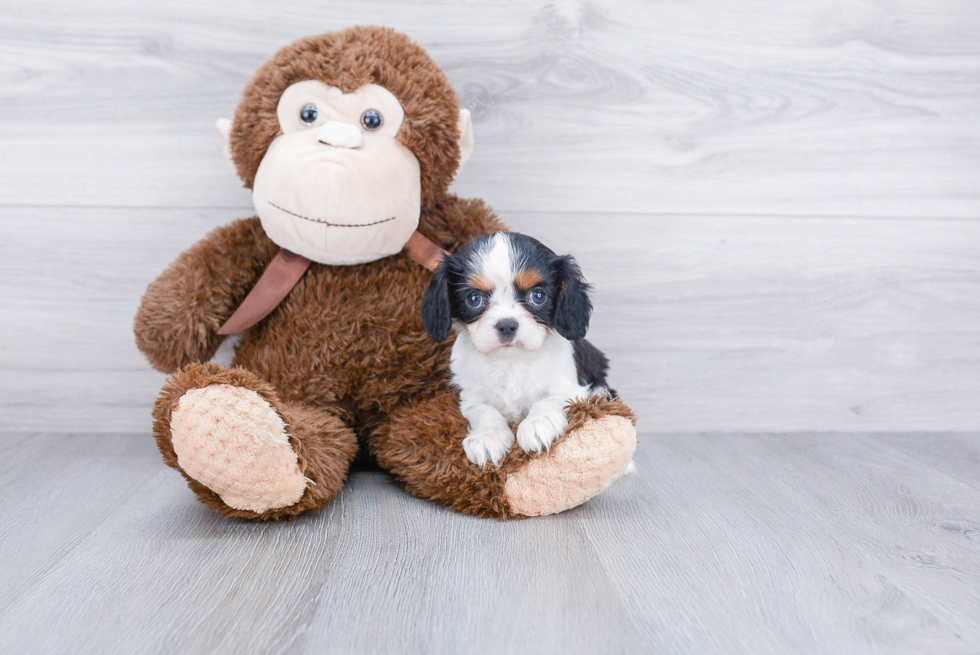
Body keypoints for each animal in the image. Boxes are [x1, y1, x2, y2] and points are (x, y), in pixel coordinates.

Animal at [420, 231, 612, 466]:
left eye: (538, 296)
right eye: (474, 299)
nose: (506, 325)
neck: (509, 361)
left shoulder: (572, 388)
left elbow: (550, 399)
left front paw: (539, 424)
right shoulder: (471, 397)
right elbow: (484, 411)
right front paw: (487, 437)